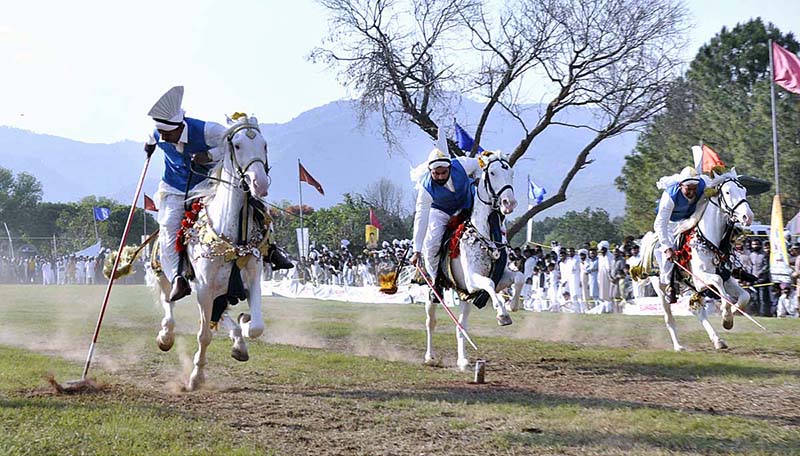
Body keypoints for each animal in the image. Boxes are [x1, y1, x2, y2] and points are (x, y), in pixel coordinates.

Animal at [153, 116, 272, 390]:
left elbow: (257, 326)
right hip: (166, 275)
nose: (259, 184)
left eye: (264, 144)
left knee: (221, 315)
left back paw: (239, 340)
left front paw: (245, 325)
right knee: (168, 304)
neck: (234, 236)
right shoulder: (204, 287)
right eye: (237, 145)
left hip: (221, 290)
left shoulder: (252, 278)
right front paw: (196, 378)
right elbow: (204, 335)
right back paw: (165, 336)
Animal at [422, 151, 528, 370]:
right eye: (493, 173)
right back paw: (430, 356)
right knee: (431, 322)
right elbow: (488, 283)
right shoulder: (473, 280)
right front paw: (502, 314)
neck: (484, 233)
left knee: (461, 326)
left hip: (465, 296)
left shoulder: (496, 279)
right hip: (433, 292)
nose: (509, 203)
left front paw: (512, 305)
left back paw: (462, 360)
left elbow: (519, 277)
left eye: (511, 173)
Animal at [636, 169, 752, 350]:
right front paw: (726, 315)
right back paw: (678, 346)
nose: (748, 216)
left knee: (697, 311)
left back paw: (717, 340)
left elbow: (745, 296)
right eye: (727, 192)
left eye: (744, 191)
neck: (709, 241)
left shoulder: (726, 278)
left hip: (687, 286)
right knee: (669, 317)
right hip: (661, 288)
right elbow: (719, 284)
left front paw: (730, 316)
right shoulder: (701, 280)